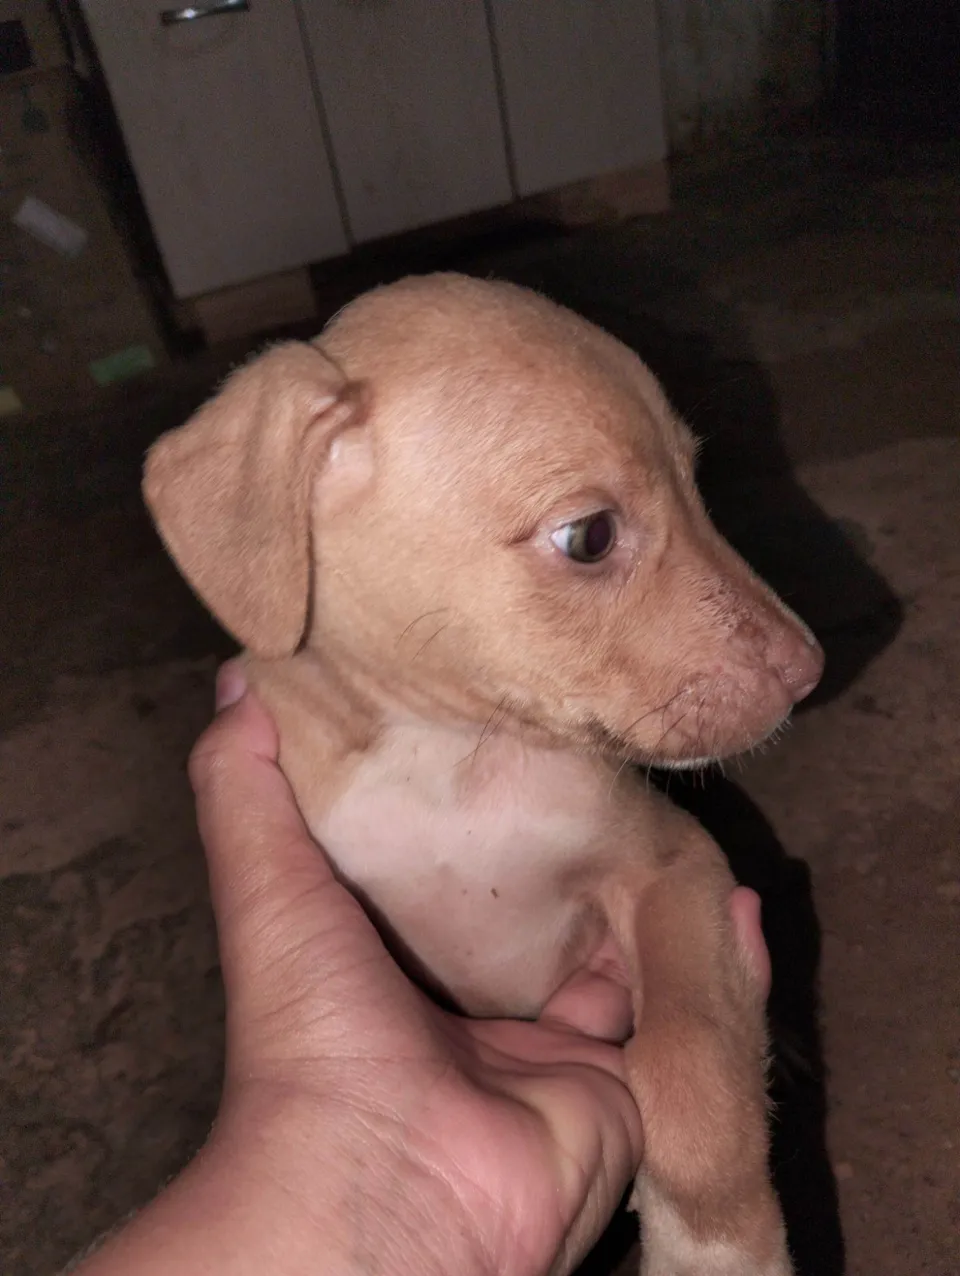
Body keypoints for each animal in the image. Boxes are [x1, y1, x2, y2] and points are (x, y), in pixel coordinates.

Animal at [144, 273, 823, 1276]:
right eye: (590, 537)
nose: (810, 670)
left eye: (698, 482)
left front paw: (715, 1245)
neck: (451, 761)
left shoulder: (671, 867)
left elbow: (690, 1050)